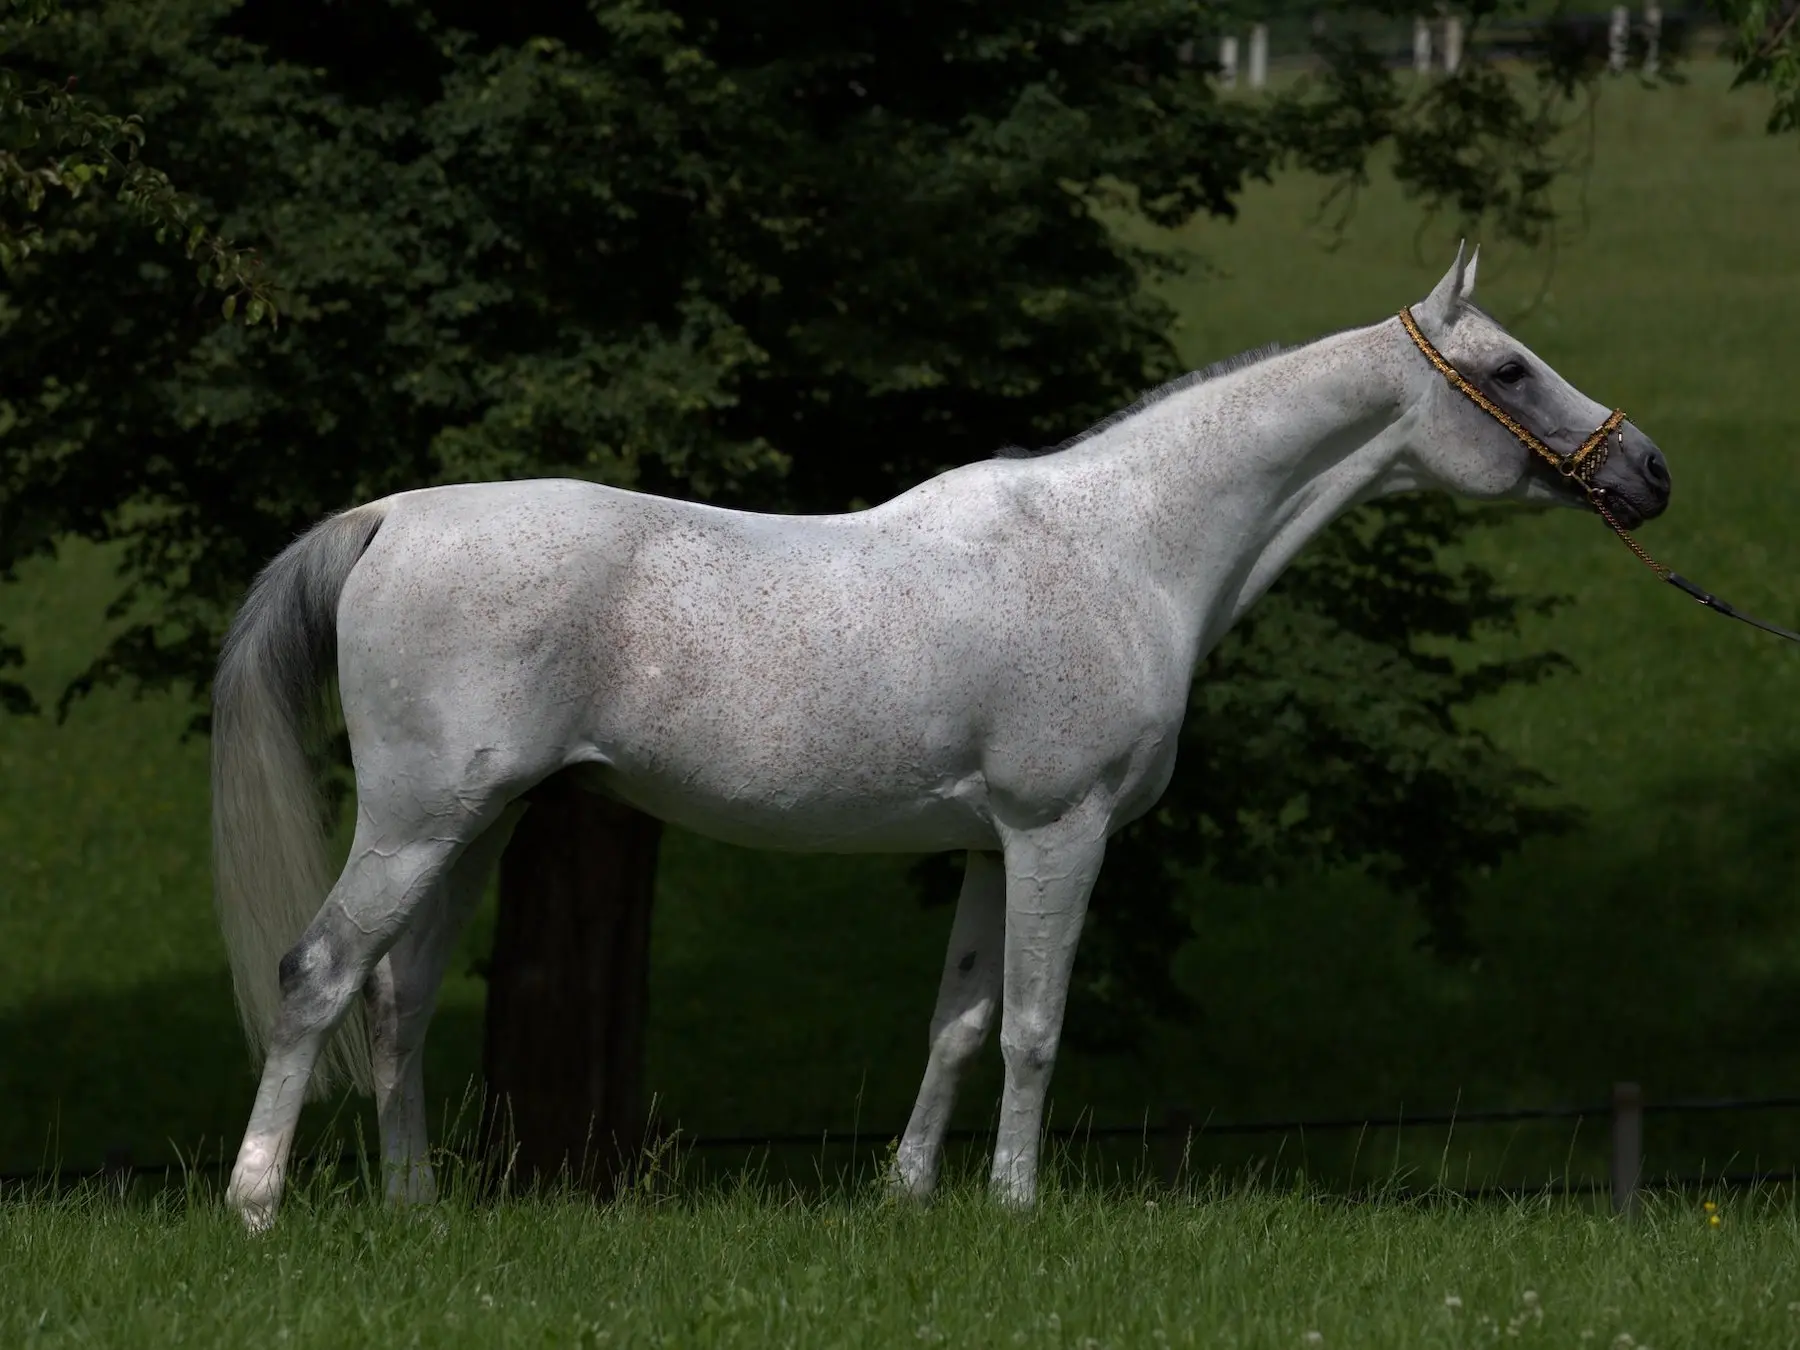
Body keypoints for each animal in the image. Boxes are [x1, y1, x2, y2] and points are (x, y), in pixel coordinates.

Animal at [210, 243, 1670, 1224]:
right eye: (1507, 368)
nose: (1647, 471)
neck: (1126, 545)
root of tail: (392, 516)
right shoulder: (1060, 830)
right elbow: (1032, 1022)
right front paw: (1017, 1203)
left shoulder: (985, 843)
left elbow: (959, 1021)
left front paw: (909, 1195)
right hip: (418, 824)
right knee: (318, 973)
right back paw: (257, 1200)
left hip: (476, 828)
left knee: (395, 999)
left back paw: (415, 1208)